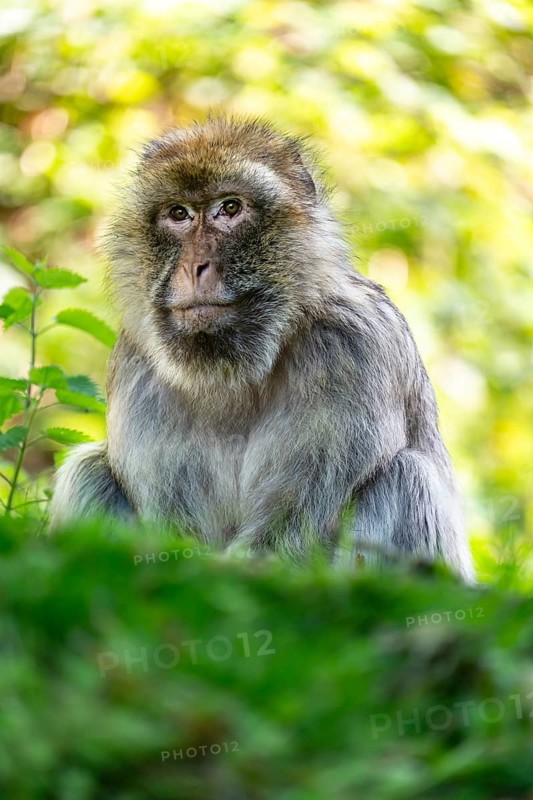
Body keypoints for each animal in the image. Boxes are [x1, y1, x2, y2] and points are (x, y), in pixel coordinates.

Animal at [50, 115, 475, 582]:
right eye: (178, 213)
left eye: (230, 208)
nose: (194, 268)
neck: (241, 366)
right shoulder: (138, 364)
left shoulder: (351, 347)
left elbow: (293, 535)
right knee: (89, 473)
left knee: (405, 478)